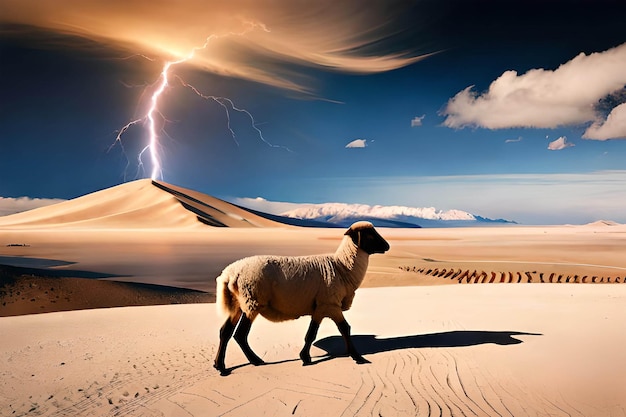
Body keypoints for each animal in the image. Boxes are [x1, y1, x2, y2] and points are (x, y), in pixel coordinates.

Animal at [214, 221, 390, 374]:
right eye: (370, 234)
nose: (388, 246)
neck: (342, 267)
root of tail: (229, 273)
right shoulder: (330, 304)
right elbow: (343, 329)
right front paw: (357, 357)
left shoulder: (320, 308)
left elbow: (311, 333)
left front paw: (305, 357)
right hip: (252, 302)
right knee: (240, 334)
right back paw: (255, 361)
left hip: (238, 303)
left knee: (225, 331)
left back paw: (220, 366)